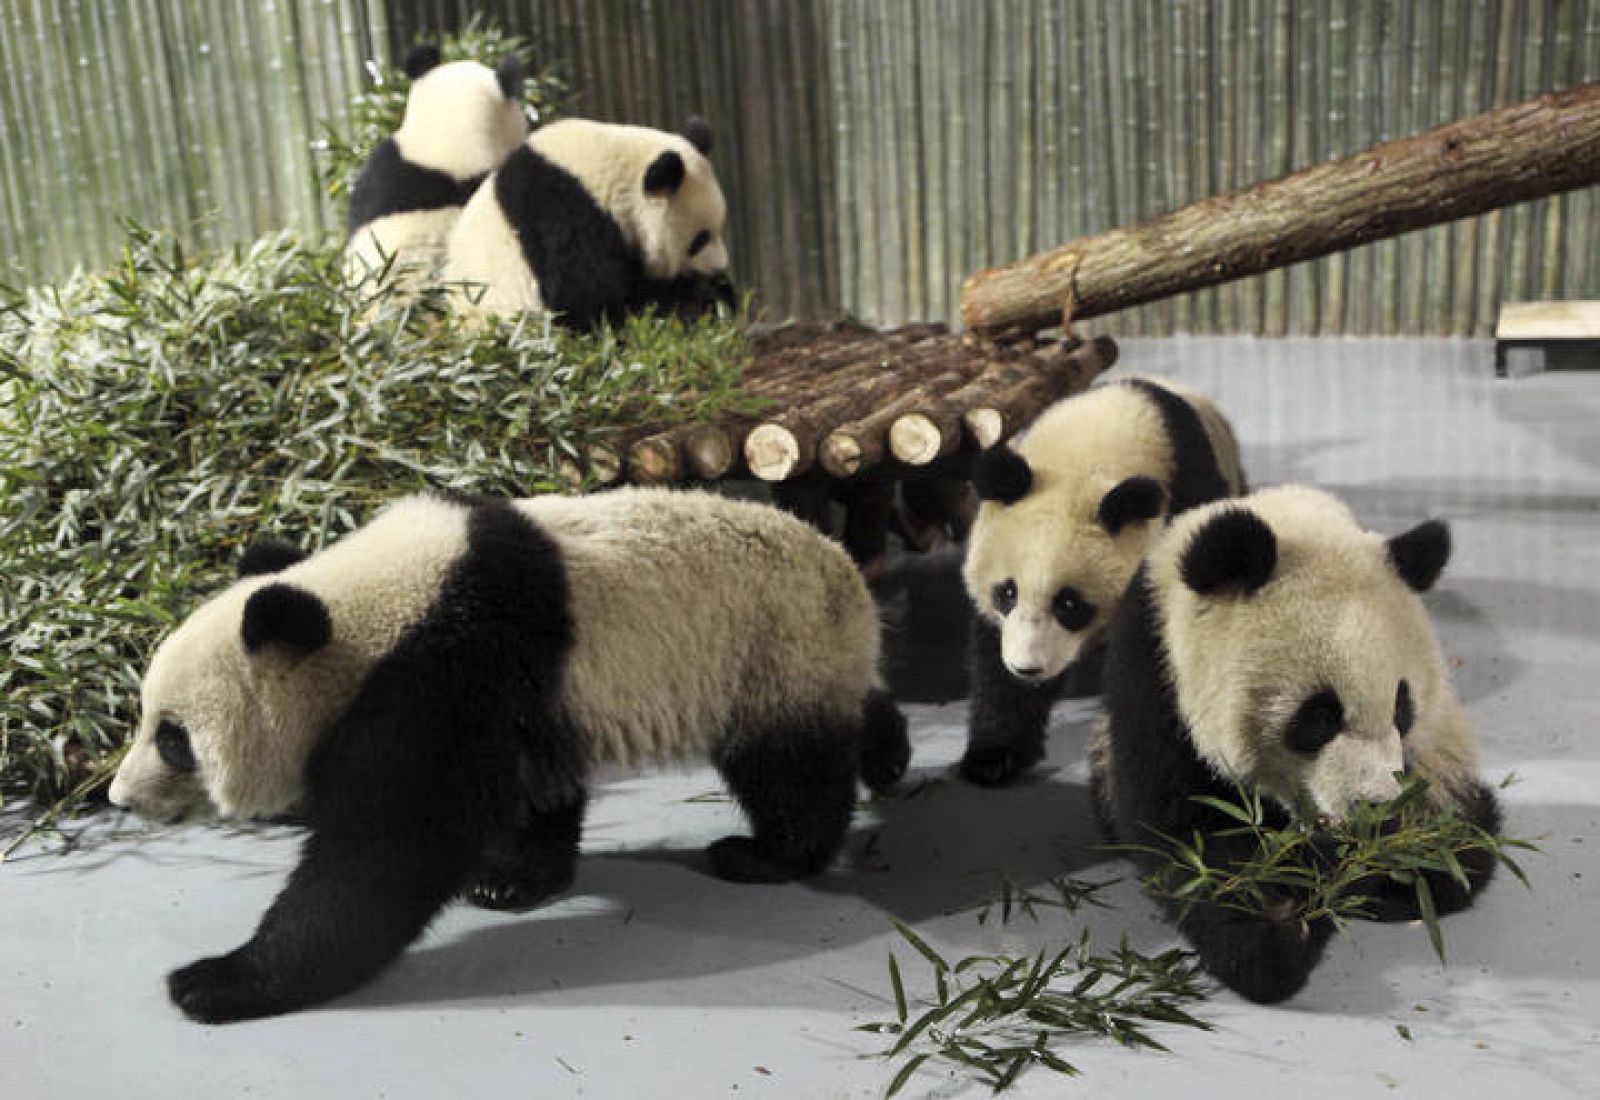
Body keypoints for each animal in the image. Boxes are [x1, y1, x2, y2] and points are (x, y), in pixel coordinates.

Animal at [107, 487, 908, 1023]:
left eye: (173, 739)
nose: (120, 797)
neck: (367, 612)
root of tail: (849, 571)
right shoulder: (521, 694)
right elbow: (530, 790)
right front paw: (511, 879)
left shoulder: (452, 664)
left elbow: (387, 851)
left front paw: (217, 980)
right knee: (847, 713)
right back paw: (887, 753)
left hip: (770, 646)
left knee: (789, 766)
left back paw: (767, 854)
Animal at [442, 116, 734, 328]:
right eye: (699, 240)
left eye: (721, 228)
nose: (718, 269)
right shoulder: (567, 215)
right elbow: (587, 296)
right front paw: (692, 296)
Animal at [1092, 485, 1502, 1004]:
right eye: (1320, 716)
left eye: (1401, 707)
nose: (1376, 812)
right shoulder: (1154, 679)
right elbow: (1188, 829)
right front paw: (1275, 930)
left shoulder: (1433, 746)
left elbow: (1453, 836)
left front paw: (1405, 859)